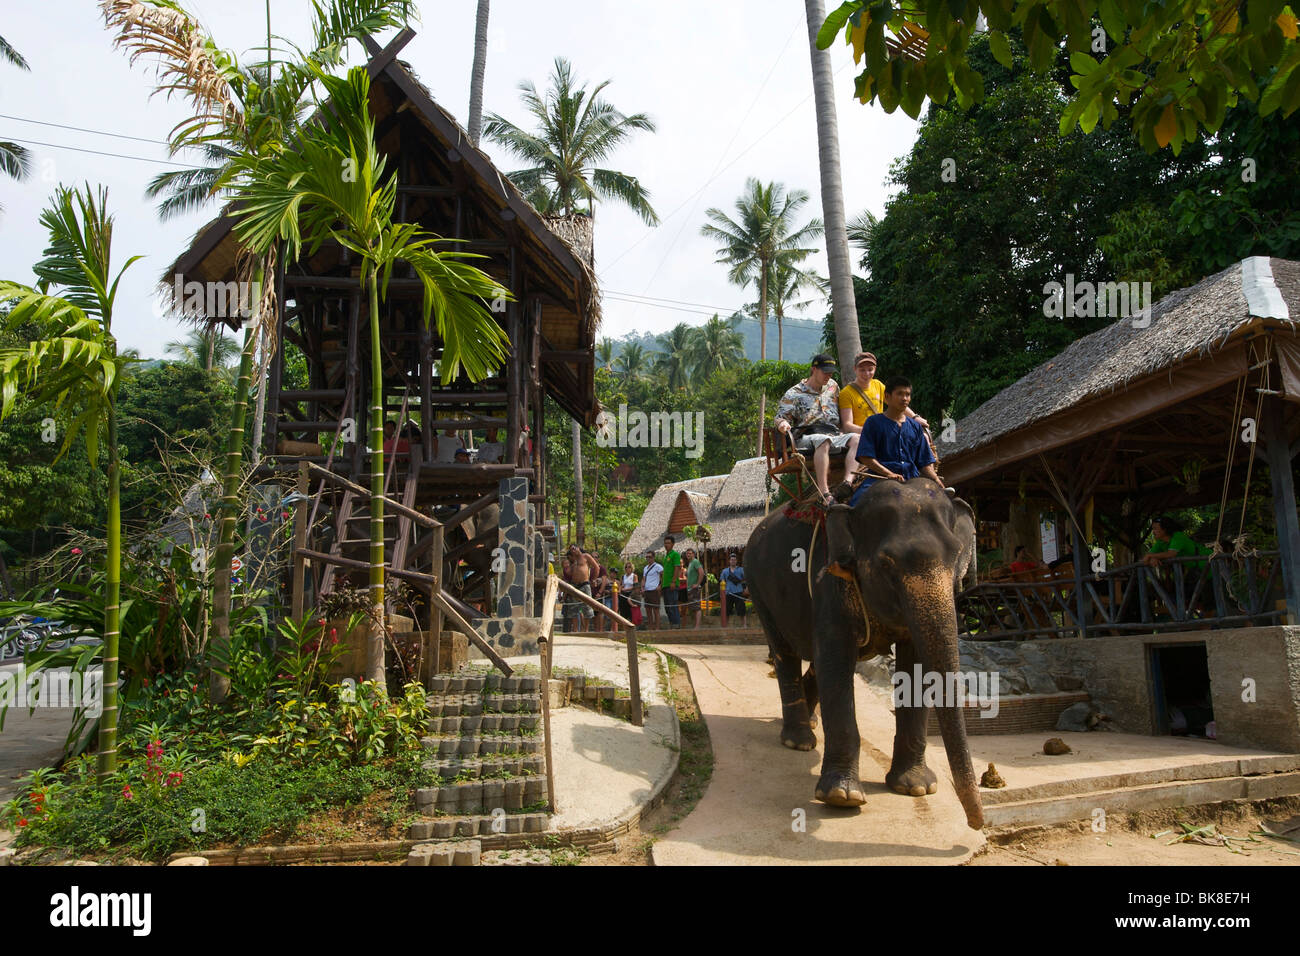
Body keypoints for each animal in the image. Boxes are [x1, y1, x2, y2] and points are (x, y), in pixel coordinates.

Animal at [748, 478, 977, 832]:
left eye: (955, 558)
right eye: (886, 564)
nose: (975, 822)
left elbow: (916, 666)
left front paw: (915, 787)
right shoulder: (829, 577)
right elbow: (835, 658)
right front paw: (842, 797)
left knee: (812, 663)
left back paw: (811, 722)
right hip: (759, 589)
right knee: (785, 653)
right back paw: (799, 741)